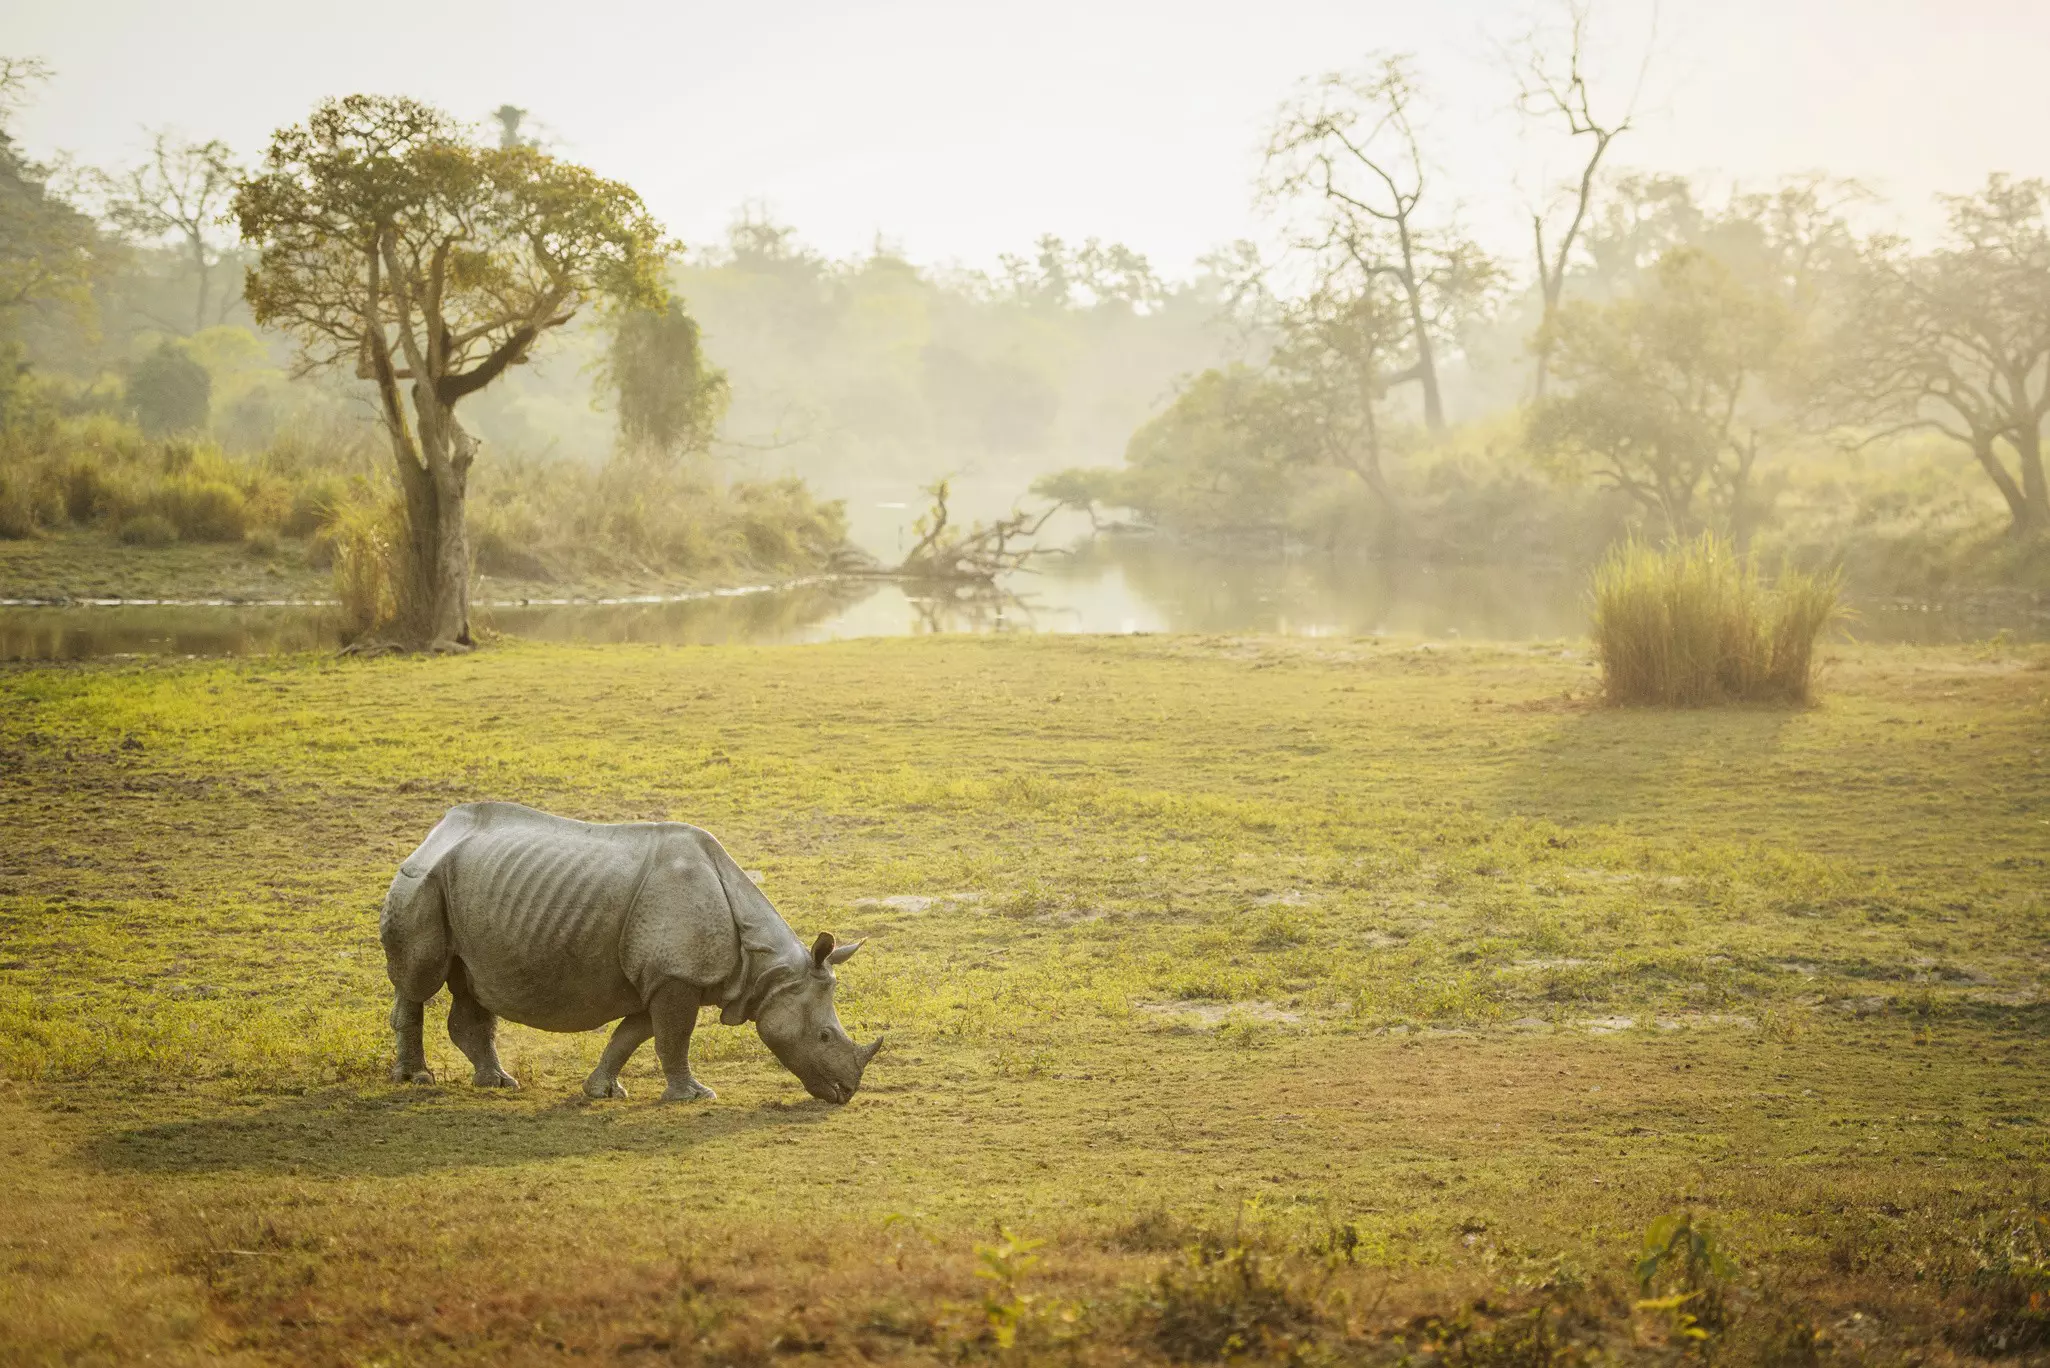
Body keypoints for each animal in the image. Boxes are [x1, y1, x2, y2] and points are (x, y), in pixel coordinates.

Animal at [380, 801, 881, 1103]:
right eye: (824, 1037)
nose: (846, 1092)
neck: (768, 969)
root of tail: (436, 831)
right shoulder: (676, 974)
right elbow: (673, 1037)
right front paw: (694, 1096)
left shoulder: (661, 976)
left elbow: (633, 1034)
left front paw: (602, 1091)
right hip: (421, 881)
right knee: (420, 980)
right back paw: (416, 1080)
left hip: (467, 886)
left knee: (469, 984)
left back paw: (497, 1084)